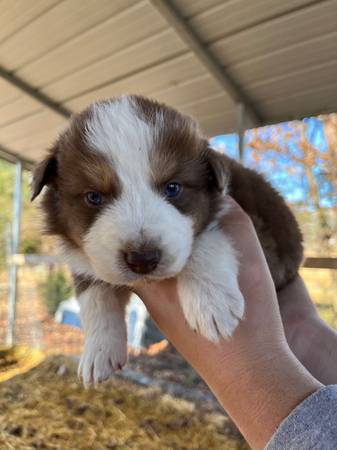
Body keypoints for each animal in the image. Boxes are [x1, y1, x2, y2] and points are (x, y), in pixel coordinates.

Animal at [32, 95, 302, 384]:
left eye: (173, 188)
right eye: (94, 197)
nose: (143, 259)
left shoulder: (246, 223)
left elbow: (205, 244)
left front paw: (211, 304)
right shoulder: (87, 260)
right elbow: (94, 297)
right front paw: (98, 352)